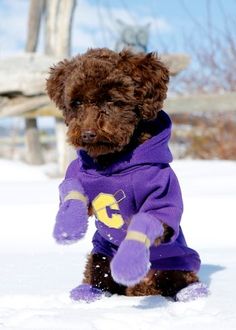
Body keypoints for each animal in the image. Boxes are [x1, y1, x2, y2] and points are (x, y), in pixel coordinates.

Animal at [47, 47, 200, 300]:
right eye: (77, 102)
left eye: (111, 99)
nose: (87, 134)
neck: (112, 163)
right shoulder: (75, 174)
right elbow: (71, 191)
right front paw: (68, 227)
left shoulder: (161, 194)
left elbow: (147, 222)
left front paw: (127, 263)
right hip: (99, 256)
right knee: (98, 276)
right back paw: (86, 293)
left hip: (177, 267)